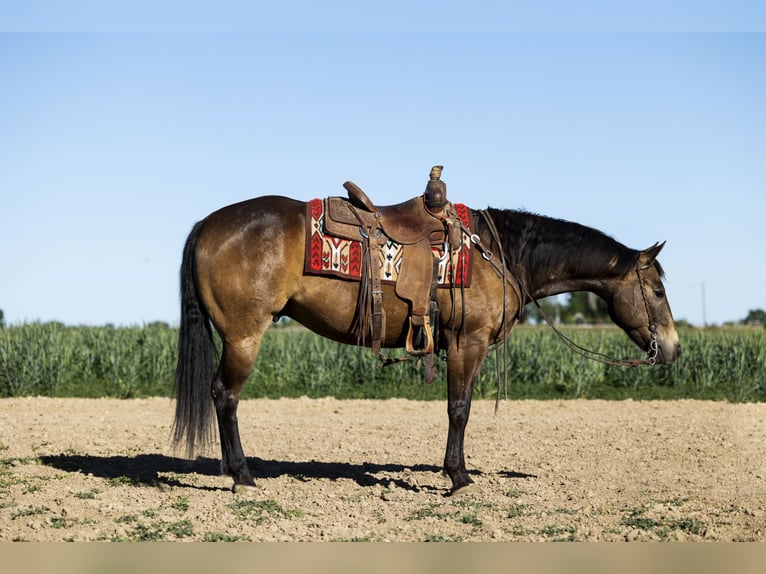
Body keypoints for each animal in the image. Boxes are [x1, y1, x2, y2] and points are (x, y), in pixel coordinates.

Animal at [171, 183, 680, 496]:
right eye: (657, 290)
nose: (673, 349)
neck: (499, 253)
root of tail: (207, 225)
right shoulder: (466, 343)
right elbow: (460, 409)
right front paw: (459, 477)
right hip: (244, 337)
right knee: (226, 397)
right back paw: (242, 477)